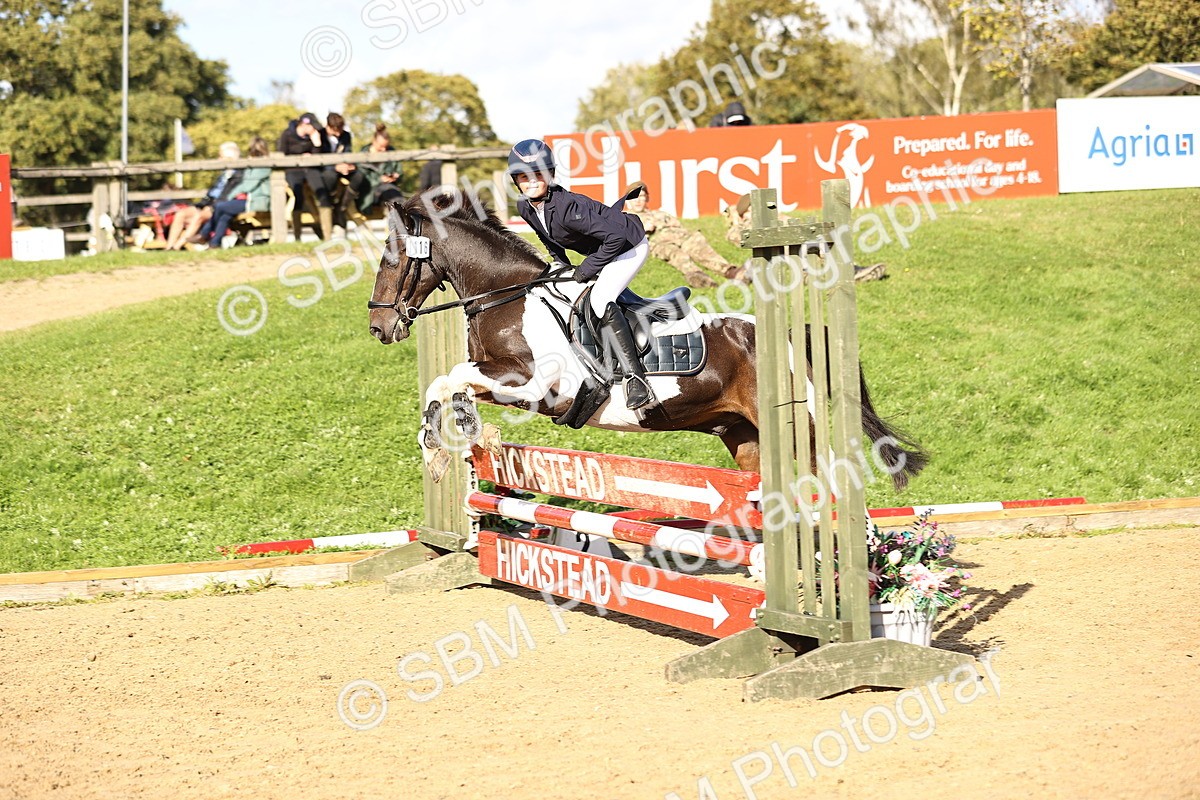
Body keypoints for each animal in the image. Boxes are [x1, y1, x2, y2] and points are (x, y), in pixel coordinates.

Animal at [367, 193, 927, 489]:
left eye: (392, 260)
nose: (378, 328)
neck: (507, 298)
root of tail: (792, 334)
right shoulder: (506, 384)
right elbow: (444, 383)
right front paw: (440, 443)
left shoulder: (542, 387)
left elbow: (453, 377)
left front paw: (454, 432)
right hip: (744, 436)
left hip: (800, 430)